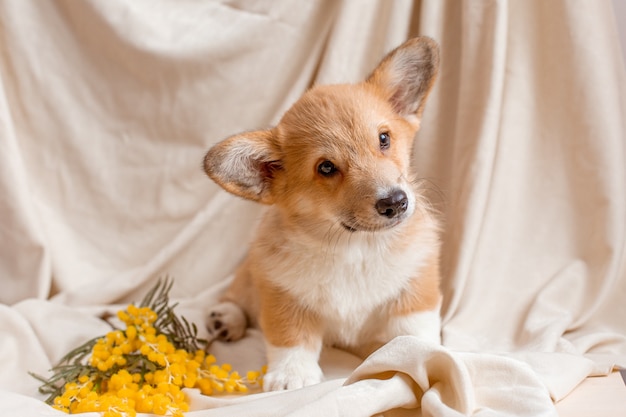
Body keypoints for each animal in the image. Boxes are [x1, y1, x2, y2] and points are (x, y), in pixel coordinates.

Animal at [202, 36, 442, 390]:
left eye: (384, 139)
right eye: (326, 168)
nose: (396, 202)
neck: (354, 248)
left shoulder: (416, 285)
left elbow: (413, 330)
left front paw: (421, 355)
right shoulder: (281, 292)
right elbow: (290, 337)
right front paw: (292, 375)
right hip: (250, 275)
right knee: (237, 296)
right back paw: (225, 318)